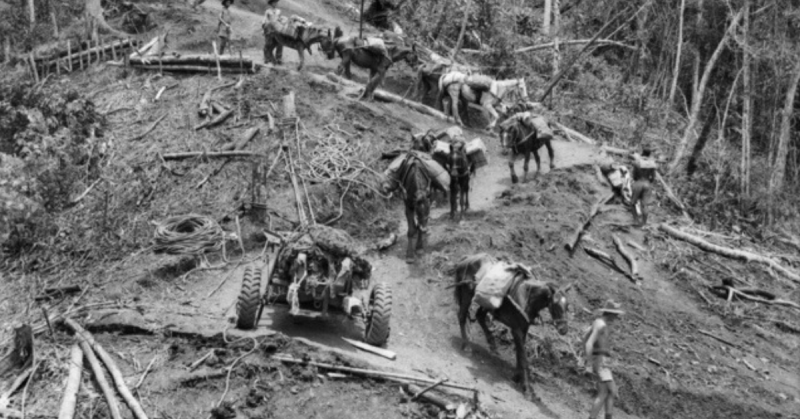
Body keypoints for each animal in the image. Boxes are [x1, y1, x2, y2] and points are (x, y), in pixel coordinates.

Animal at [454, 254, 572, 398]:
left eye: (567, 305)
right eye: (555, 304)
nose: (563, 329)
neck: (527, 297)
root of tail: (467, 259)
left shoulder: (524, 329)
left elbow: (519, 354)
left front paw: (517, 377)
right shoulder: (516, 329)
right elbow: (523, 356)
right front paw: (527, 387)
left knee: (479, 316)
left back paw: (492, 345)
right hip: (467, 294)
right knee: (462, 316)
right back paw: (467, 346)